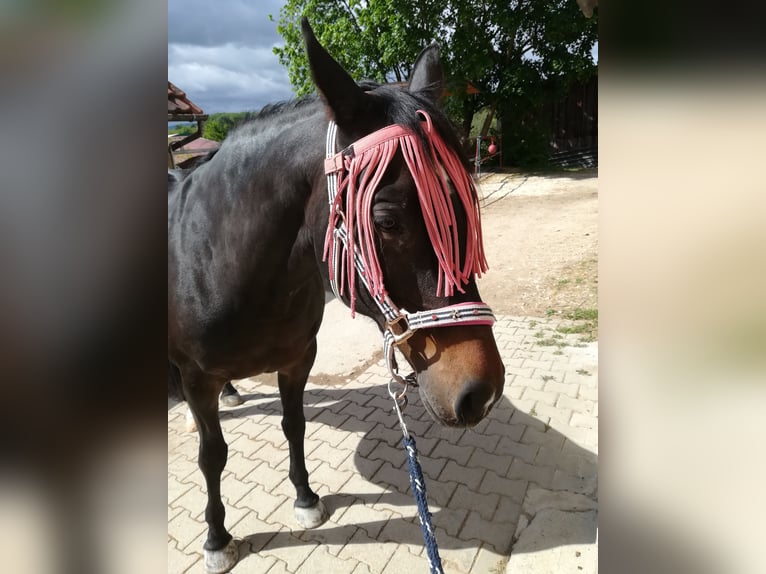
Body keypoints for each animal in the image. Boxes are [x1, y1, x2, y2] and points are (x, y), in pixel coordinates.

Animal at [169, 19, 508, 574]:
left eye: (465, 204)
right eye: (386, 221)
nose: (482, 391)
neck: (226, 262)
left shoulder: (297, 360)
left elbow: (294, 425)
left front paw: (305, 498)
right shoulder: (198, 379)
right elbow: (211, 455)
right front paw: (217, 537)